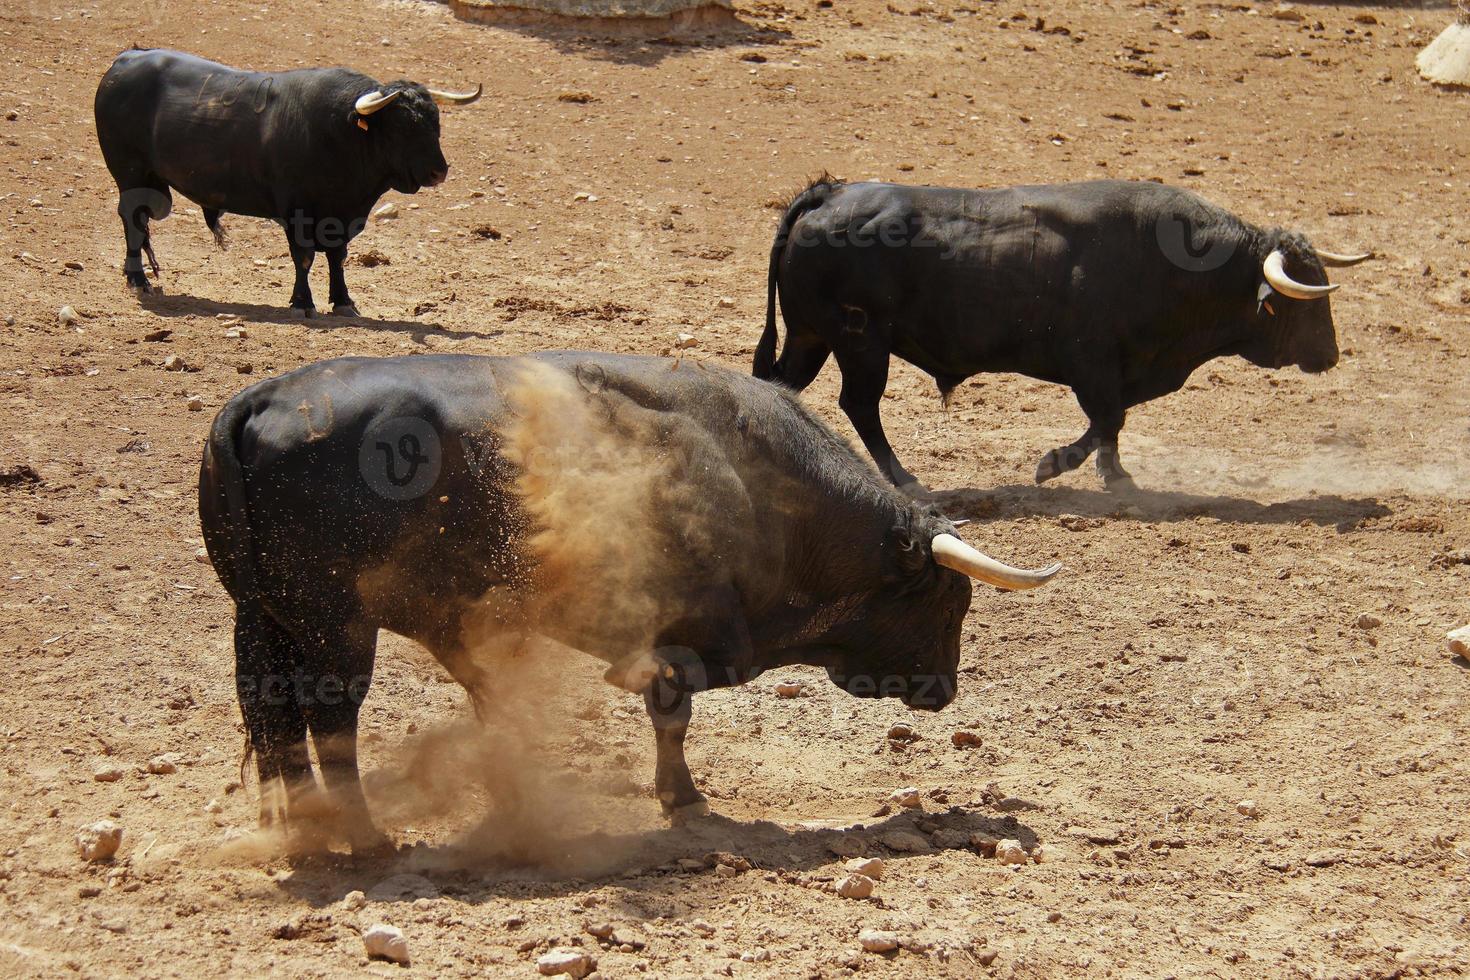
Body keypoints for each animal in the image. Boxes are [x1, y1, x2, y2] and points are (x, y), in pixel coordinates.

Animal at [91, 47, 479, 315]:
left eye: (435, 122)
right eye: (402, 127)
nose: (439, 171)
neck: (342, 133)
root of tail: (127, 59)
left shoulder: (340, 213)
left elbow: (337, 257)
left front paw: (343, 301)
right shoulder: (298, 212)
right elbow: (303, 258)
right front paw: (302, 302)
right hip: (130, 176)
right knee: (133, 223)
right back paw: (138, 280)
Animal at [201, 354, 1064, 852]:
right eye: (949, 602)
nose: (944, 691)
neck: (763, 487)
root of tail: (259, 403)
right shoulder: (693, 634)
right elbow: (673, 702)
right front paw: (680, 792)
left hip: (265, 620)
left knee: (273, 716)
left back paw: (295, 825)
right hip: (336, 626)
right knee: (330, 717)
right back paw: (365, 836)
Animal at [752, 176, 1370, 490]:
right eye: (1304, 304)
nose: (1331, 354)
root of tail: (828, 195)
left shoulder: (1120, 370)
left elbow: (1113, 422)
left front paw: (1115, 475)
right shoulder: (1092, 365)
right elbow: (1108, 418)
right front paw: (1057, 464)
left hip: (810, 336)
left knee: (782, 386)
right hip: (860, 343)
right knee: (860, 404)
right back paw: (904, 479)